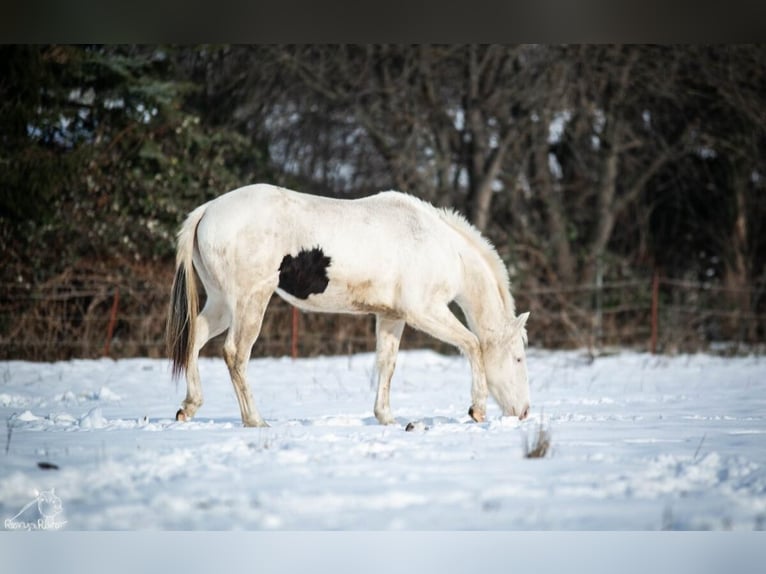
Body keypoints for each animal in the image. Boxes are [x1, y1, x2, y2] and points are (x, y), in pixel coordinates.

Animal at [166, 183, 530, 427]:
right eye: (518, 358)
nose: (524, 412)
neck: (440, 245)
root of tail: (207, 210)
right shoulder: (424, 312)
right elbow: (473, 345)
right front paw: (477, 409)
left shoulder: (392, 317)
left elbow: (387, 364)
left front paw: (386, 417)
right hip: (250, 302)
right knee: (236, 355)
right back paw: (255, 420)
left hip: (222, 304)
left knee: (195, 338)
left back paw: (189, 406)